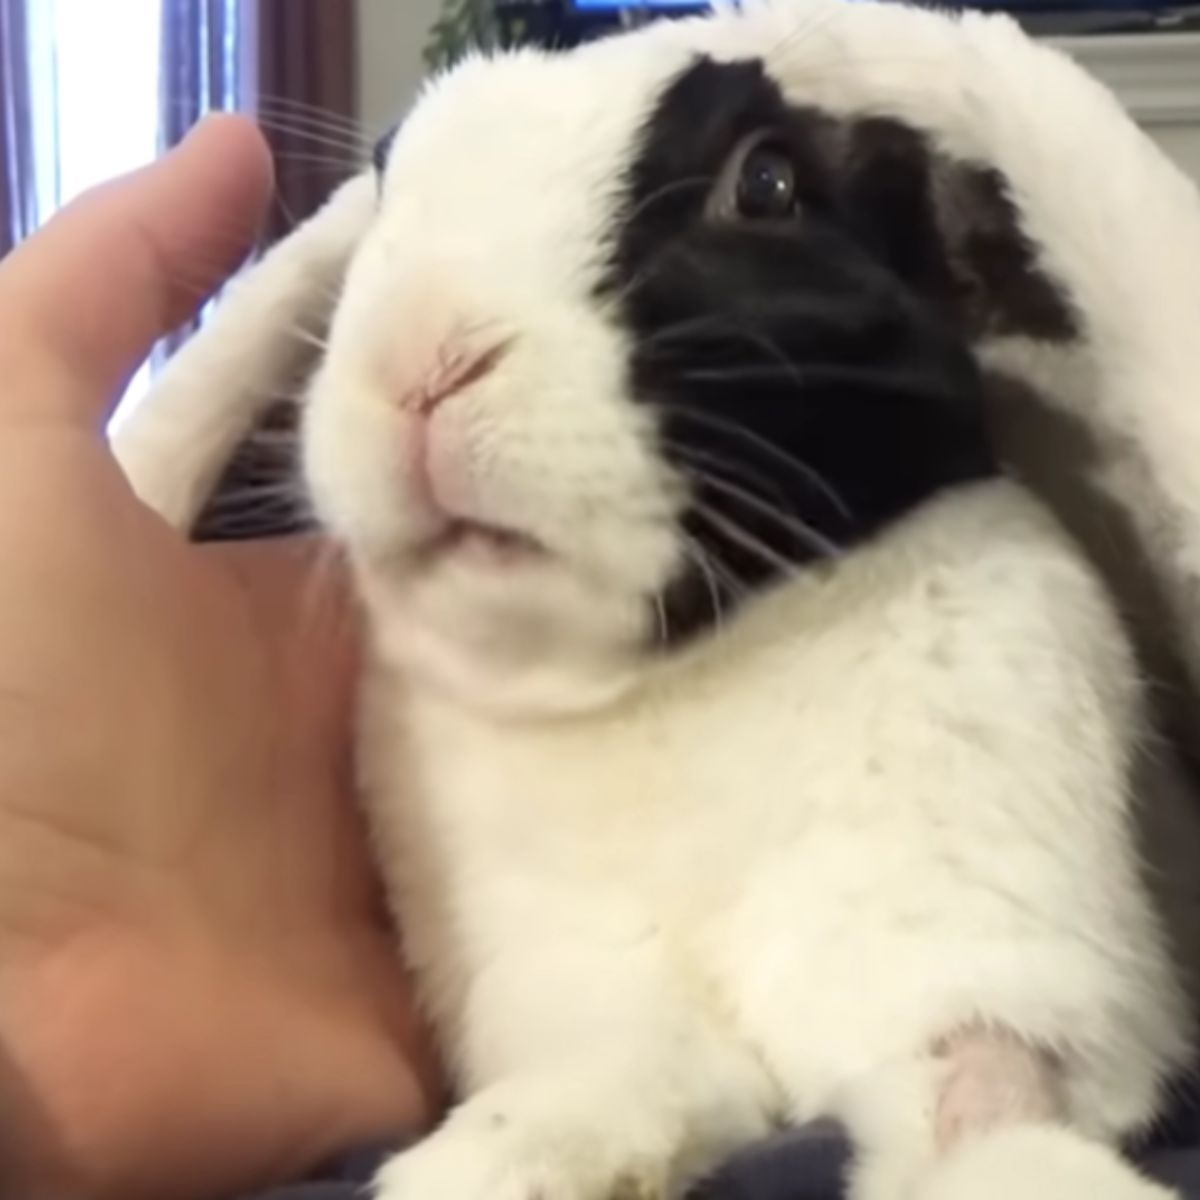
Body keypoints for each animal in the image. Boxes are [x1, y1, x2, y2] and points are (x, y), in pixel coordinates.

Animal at [112, 2, 1200, 1200]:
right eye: (388, 171)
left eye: (767, 184)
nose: (425, 362)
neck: (669, 682)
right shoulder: (591, 994)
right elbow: (625, 1080)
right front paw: (476, 1168)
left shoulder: (976, 959)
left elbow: (981, 1111)